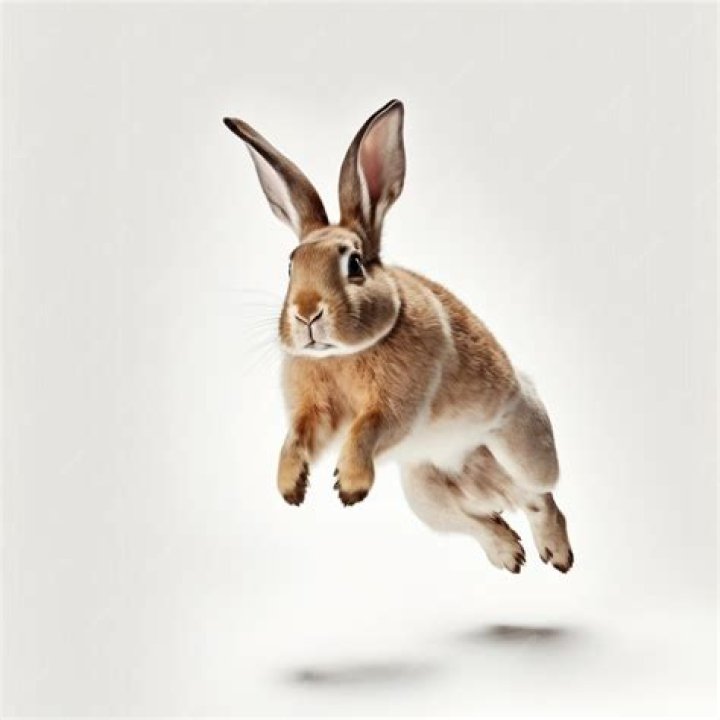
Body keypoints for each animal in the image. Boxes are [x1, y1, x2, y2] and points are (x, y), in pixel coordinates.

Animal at [223, 99, 573, 574]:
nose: (307, 312)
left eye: (354, 264)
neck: (341, 354)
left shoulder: (400, 405)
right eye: (290, 266)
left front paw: (349, 485)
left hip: (526, 447)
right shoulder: (314, 412)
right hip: (422, 491)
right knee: (482, 521)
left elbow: (367, 428)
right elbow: (298, 436)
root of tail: (492, 486)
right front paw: (291, 486)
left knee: (543, 498)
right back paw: (510, 554)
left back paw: (558, 554)